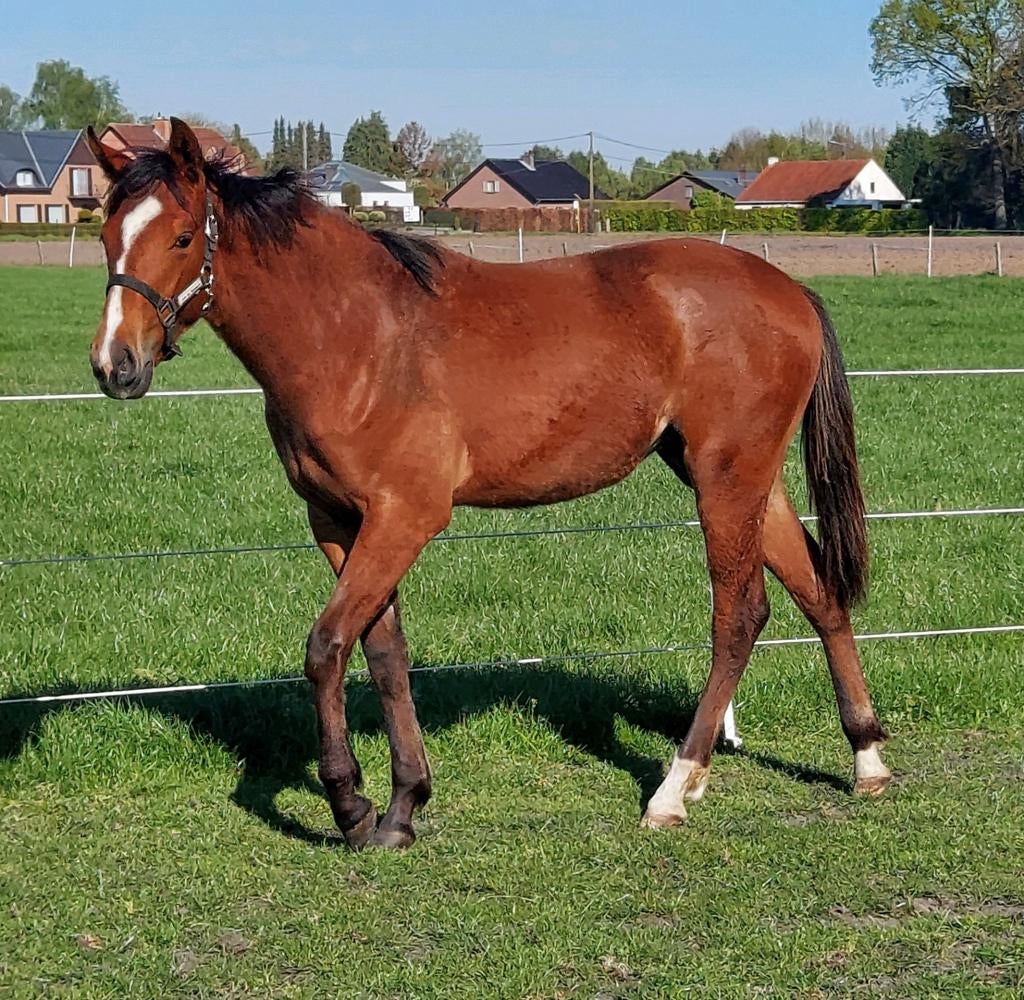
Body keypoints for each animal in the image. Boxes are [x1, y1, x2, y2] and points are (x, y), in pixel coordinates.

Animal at [85, 119, 891, 850]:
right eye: (107, 236)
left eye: (181, 238)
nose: (114, 364)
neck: (356, 335)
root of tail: (790, 290)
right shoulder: (341, 523)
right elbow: (384, 655)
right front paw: (402, 807)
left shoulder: (405, 517)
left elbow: (327, 646)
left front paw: (350, 805)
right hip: (745, 479)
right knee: (820, 594)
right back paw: (866, 757)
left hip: (725, 482)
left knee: (739, 616)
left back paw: (673, 789)